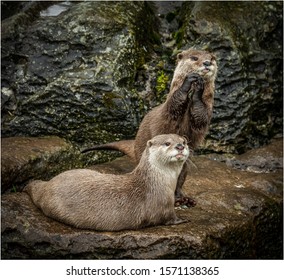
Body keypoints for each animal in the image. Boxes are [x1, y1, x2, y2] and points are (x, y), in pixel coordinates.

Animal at [23, 135, 189, 231]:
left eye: (184, 141)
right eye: (167, 143)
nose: (180, 146)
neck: (155, 181)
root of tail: (47, 186)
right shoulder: (162, 205)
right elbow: (169, 218)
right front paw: (182, 219)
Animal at [82, 48, 217, 206]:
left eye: (212, 58)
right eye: (194, 58)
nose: (207, 62)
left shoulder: (205, 111)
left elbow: (200, 115)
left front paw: (199, 88)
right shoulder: (169, 111)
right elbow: (176, 102)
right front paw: (189, 81)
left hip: (185, 166)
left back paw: (182, 198)